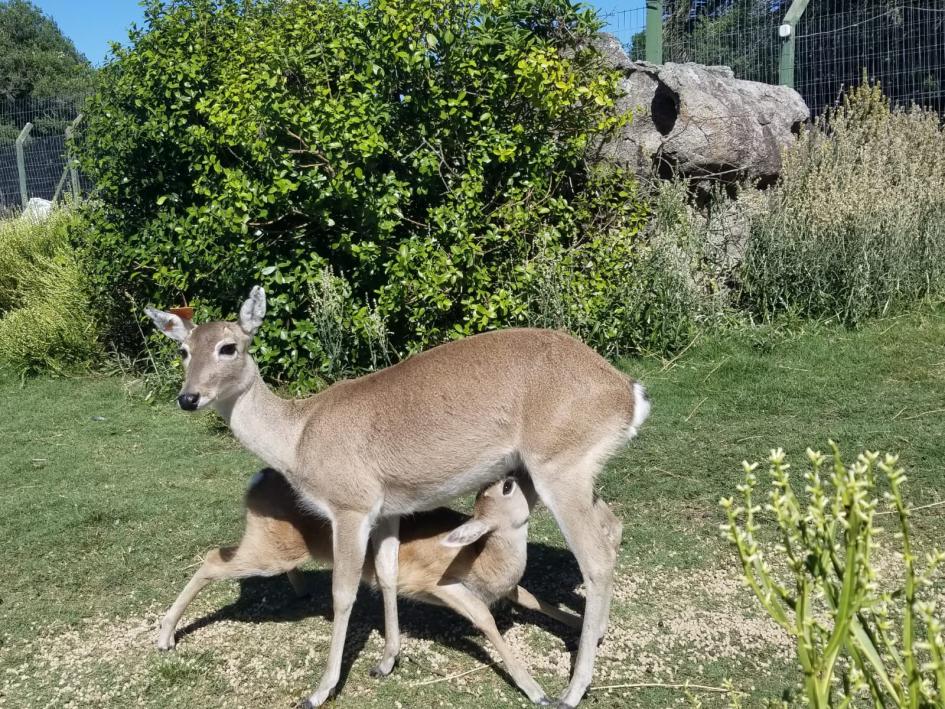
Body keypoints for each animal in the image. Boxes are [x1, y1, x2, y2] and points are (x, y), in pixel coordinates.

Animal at [146, 284, 648, 704]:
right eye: (183, 350)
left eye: (229, 346)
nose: (188, 398)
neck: (299, 438)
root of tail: (628, 394)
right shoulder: (388, 509)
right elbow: (386, 573)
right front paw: (387, 660)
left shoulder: (349, 505)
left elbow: (344, 592)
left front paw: (321, 690)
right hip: (574, 471)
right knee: (613, 526)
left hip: (559, 466)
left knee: (595, 558)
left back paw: (572, 689)